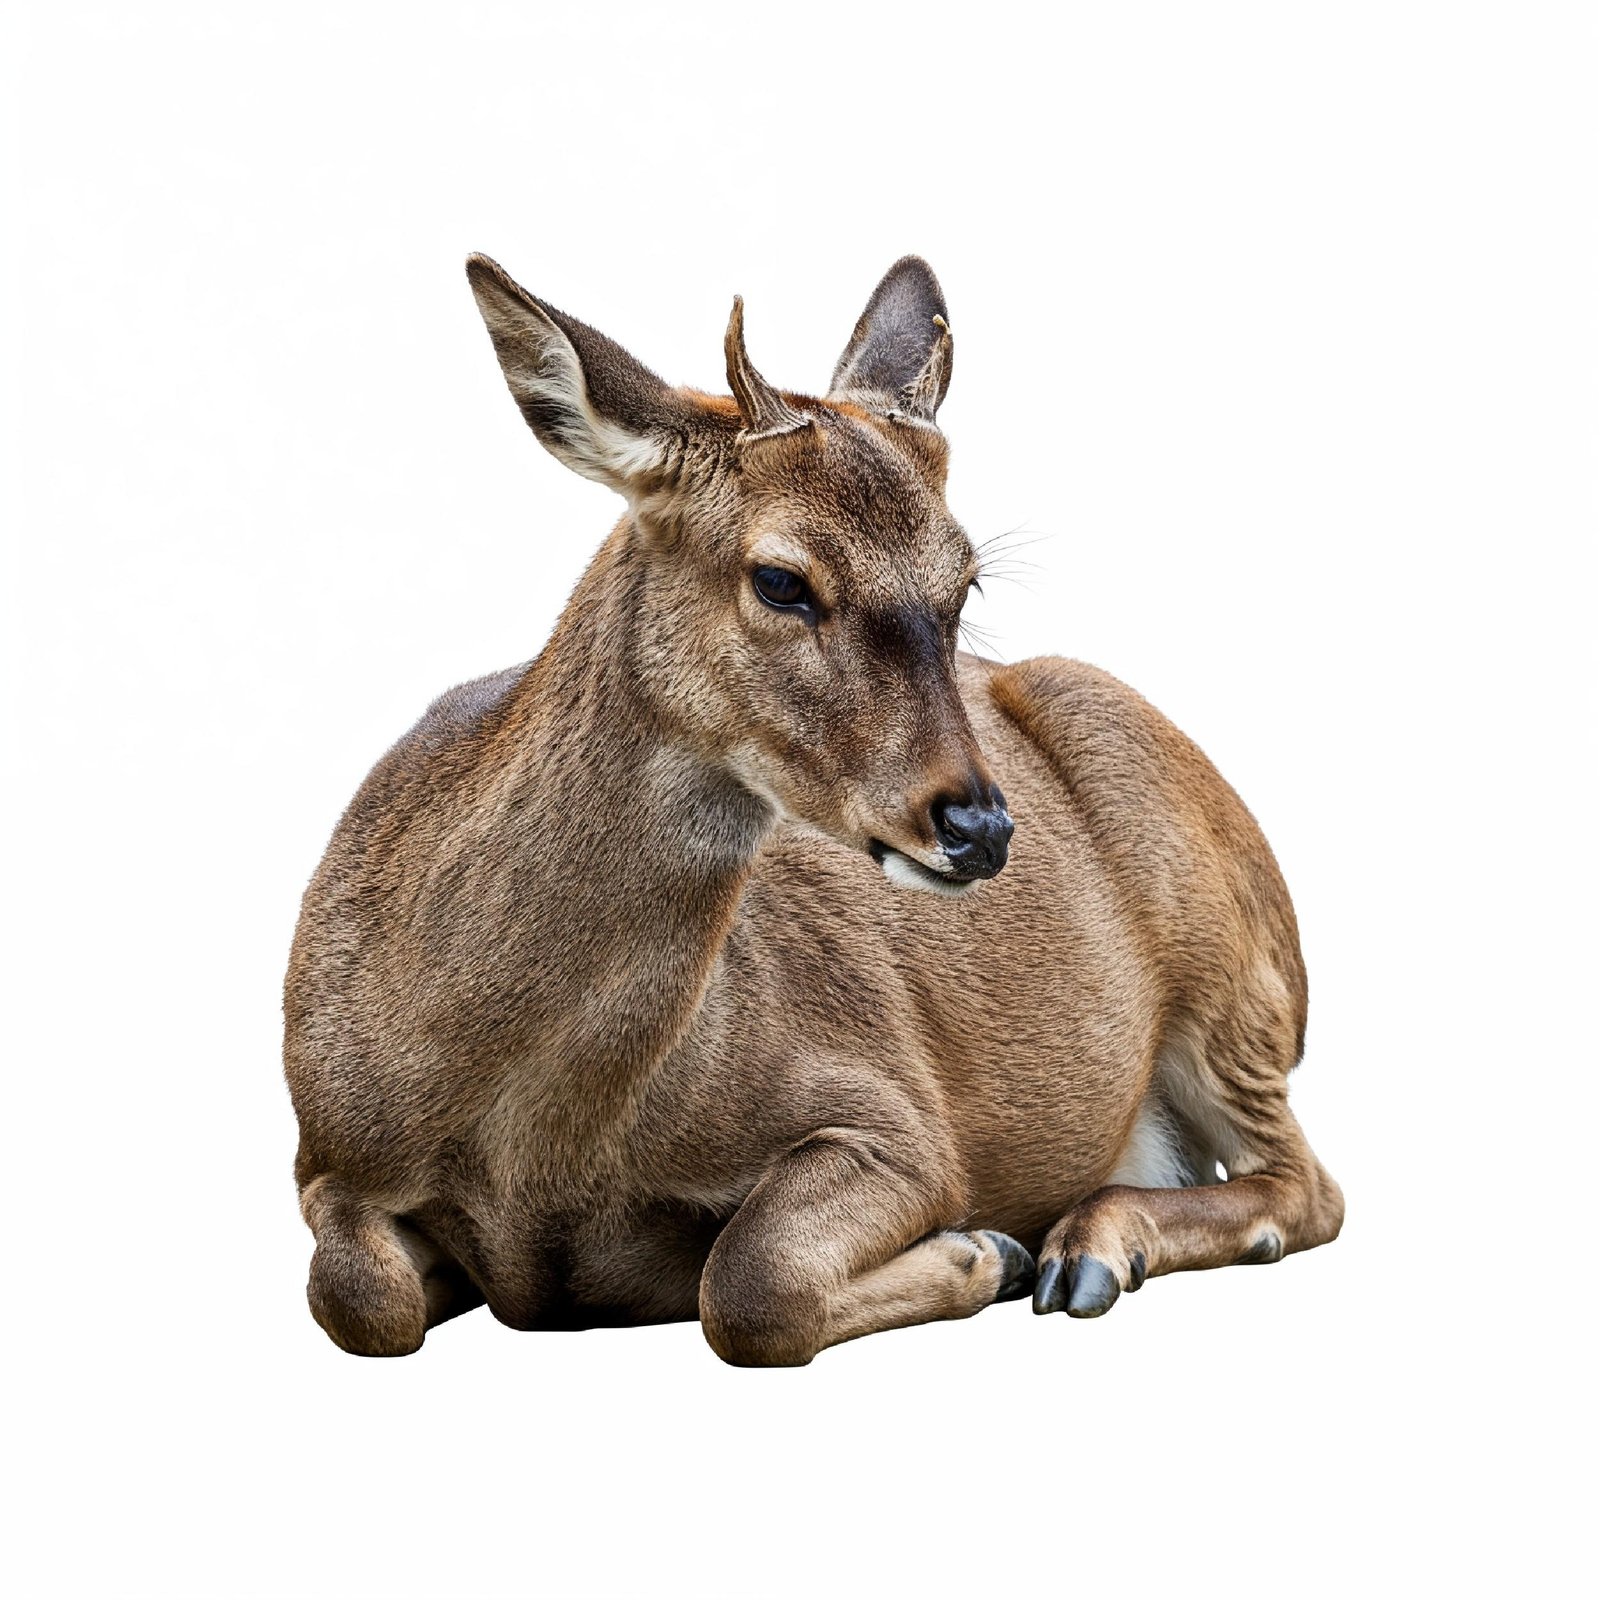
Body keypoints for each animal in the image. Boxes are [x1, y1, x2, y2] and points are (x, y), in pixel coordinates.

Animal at [283, 252, 1344, 1365]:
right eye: (781, 578)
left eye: (964, 581)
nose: (979, 826)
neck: (530, 1148)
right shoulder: (323, 1156)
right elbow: (359, 1296)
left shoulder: (898, 1117)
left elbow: (752, 1281)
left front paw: (982, 1252)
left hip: (1233, 979)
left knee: (1305, 1185)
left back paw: (1087, 1248)